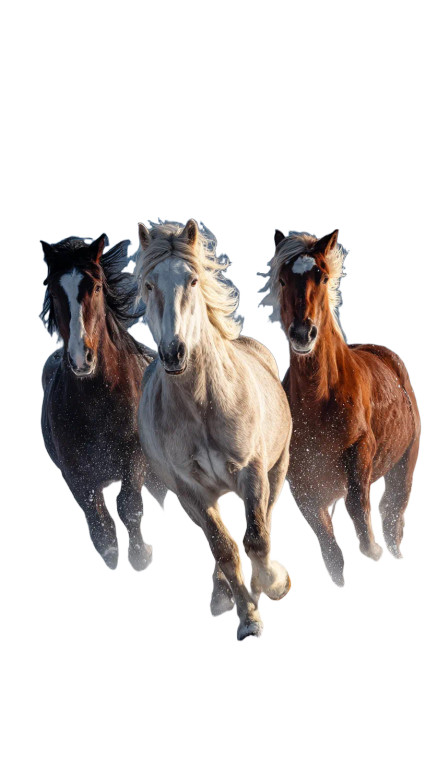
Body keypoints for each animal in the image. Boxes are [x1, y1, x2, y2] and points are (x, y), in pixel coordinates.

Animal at [40, 234, 166, 570]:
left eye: (96, 286)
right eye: (53, 290)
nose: (80, 358)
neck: (98, 402)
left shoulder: (135, 455)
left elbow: (128, 505)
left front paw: (143, 554)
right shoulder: (75, 474)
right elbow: (101, 528)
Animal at [135, 219, 292, 640]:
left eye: (192, 280)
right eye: (148, 284)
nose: (174, 352)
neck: (202, 404)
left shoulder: (253, 472)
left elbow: (256, 539)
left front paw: (274, 584)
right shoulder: (191, 492)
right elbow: (224, 548)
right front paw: (248, 617)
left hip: (277, 468)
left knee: (266, 519)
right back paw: (223, 594)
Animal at [259, 228, 420, 585]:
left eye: (321, 275)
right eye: (282, 279)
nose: (303, 333)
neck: (319, 402)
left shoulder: (360, 450)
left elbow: (357, 507)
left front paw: (373, 551)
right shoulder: (303, 485)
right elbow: (332, 554)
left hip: (404, 466)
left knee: (393, 518)